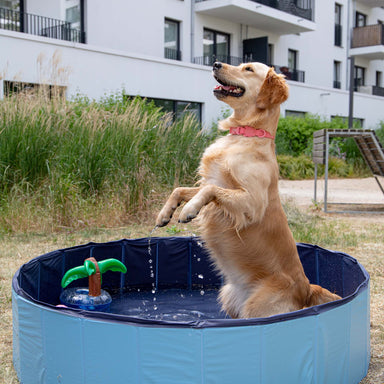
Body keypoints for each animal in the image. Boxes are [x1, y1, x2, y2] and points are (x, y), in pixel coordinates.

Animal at [154, 60, 340, 318]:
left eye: (248, 69)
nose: (215, 63)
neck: (245, 135)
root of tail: (306, 288)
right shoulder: (212, 180)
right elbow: (180, 189)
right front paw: (165, 214)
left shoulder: (252, 203)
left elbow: (210, 190)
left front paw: (189, 210)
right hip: (229, 296)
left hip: (258, 308)